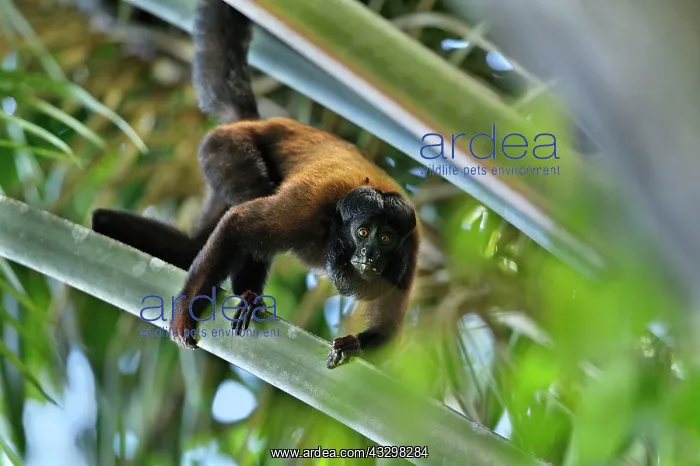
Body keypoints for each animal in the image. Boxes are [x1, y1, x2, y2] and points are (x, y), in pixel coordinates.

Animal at [91, 0, 420, 369]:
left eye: (386, 238)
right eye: (363, 233)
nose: (370, 253)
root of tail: (255, 121)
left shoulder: (411, 251)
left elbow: (388, 334)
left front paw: (353, 345)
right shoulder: (309, 208)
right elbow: (241, 223)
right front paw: (185, 312)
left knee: (195, 245)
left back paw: (105, 222)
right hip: (226, 149)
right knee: (251, 202)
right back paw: (245, 295)